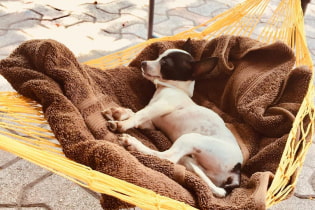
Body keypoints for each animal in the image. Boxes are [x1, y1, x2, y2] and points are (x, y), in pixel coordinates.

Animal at [103, 39, 244, 199]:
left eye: (165, 63)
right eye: (159, 56)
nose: (143, 63)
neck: (172, 89)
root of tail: (237, 169)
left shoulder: (161, 106)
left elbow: (139, 114)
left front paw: (122, 123)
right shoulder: (152, 122)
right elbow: (135, 113)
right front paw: (119, 112)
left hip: (190, 138)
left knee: (167, 157)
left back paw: (134, 143)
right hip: (194, 160)